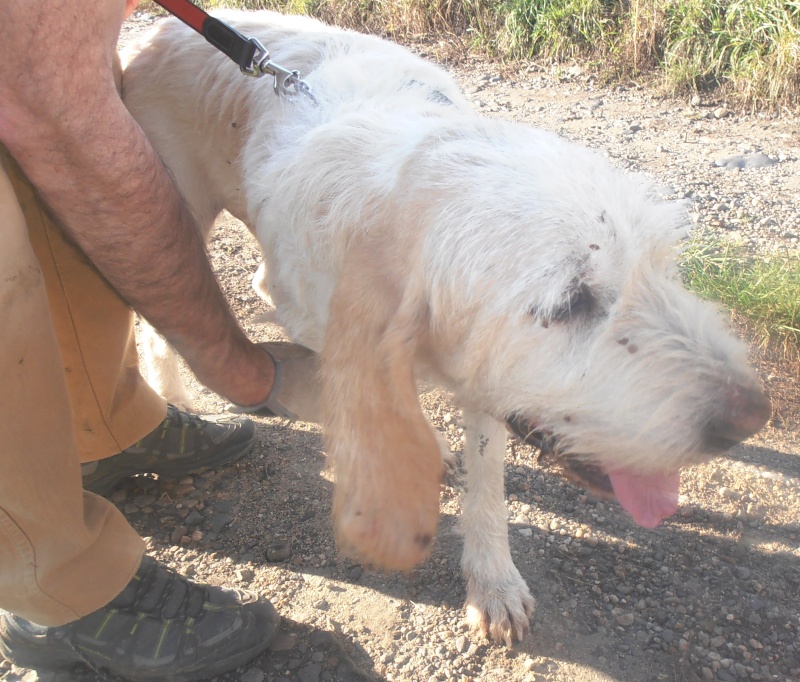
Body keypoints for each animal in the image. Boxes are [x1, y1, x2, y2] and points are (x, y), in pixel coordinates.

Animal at [123, 11, 768, 644]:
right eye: (570, 302)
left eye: (661, 265)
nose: (753, 416)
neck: (391, 212)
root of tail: (159, 28)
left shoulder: (489, 389)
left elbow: (486, 486)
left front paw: (493, 583)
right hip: (173, 209)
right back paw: (176, 400)